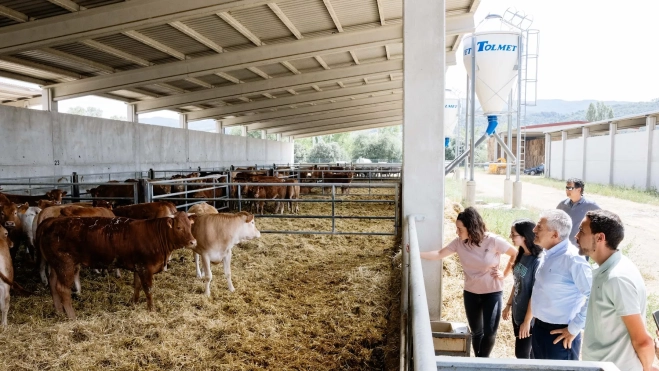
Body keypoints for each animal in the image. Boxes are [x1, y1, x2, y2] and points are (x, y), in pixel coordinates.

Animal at [37, 212, 197, 320]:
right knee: (62, 289)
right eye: (178, 227)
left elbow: (137, 286)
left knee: (52, 284)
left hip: (55, 265)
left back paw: (59, 311)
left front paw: (134, 303)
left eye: (190, 226)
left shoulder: (138, 267)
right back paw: (72, 317)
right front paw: (151, 310)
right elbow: (148, 290)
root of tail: (51, 221)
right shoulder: (145, 267)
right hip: (66, 265)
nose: (193, 242)